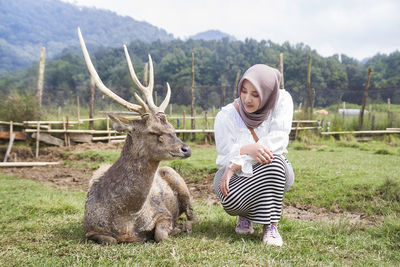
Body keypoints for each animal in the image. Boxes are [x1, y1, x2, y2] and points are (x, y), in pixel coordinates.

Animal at [77, 28, 195, 245]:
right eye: (154, 131)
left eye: (172, 127)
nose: (186, 148)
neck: (126, 217)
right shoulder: (89, 228)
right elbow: (111, 240)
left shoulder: (163, 213)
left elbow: (160, 234)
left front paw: (174, 229)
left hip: (177, 178)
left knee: (191, 213)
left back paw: (185, 226)